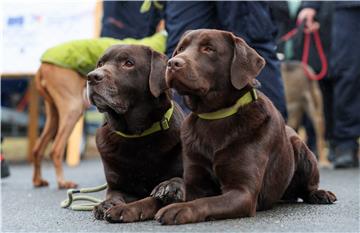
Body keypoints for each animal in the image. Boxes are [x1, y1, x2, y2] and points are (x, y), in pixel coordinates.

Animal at [155, 29, 338, 224]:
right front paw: (166, 190)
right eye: (181, 49)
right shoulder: (197, 181)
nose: (172, 63)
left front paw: (177, 209)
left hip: (302, 144)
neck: (215, 116)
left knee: (308, 186)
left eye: (209, 49)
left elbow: (205, 202)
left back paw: (321, 194)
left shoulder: (243, 193)